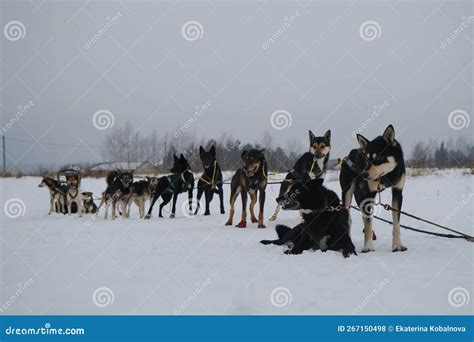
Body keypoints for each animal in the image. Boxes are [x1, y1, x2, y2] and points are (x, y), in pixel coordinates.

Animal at [340, 124, 408, 252]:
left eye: (378, 158)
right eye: (367, 159)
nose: (363, 174)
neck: (386, 176)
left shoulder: (397, 192)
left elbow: (396, 223)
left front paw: (397, 245)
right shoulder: (368, 195)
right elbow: (367, 225)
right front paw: (368, 247)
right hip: (347, 193)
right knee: (349, 219)